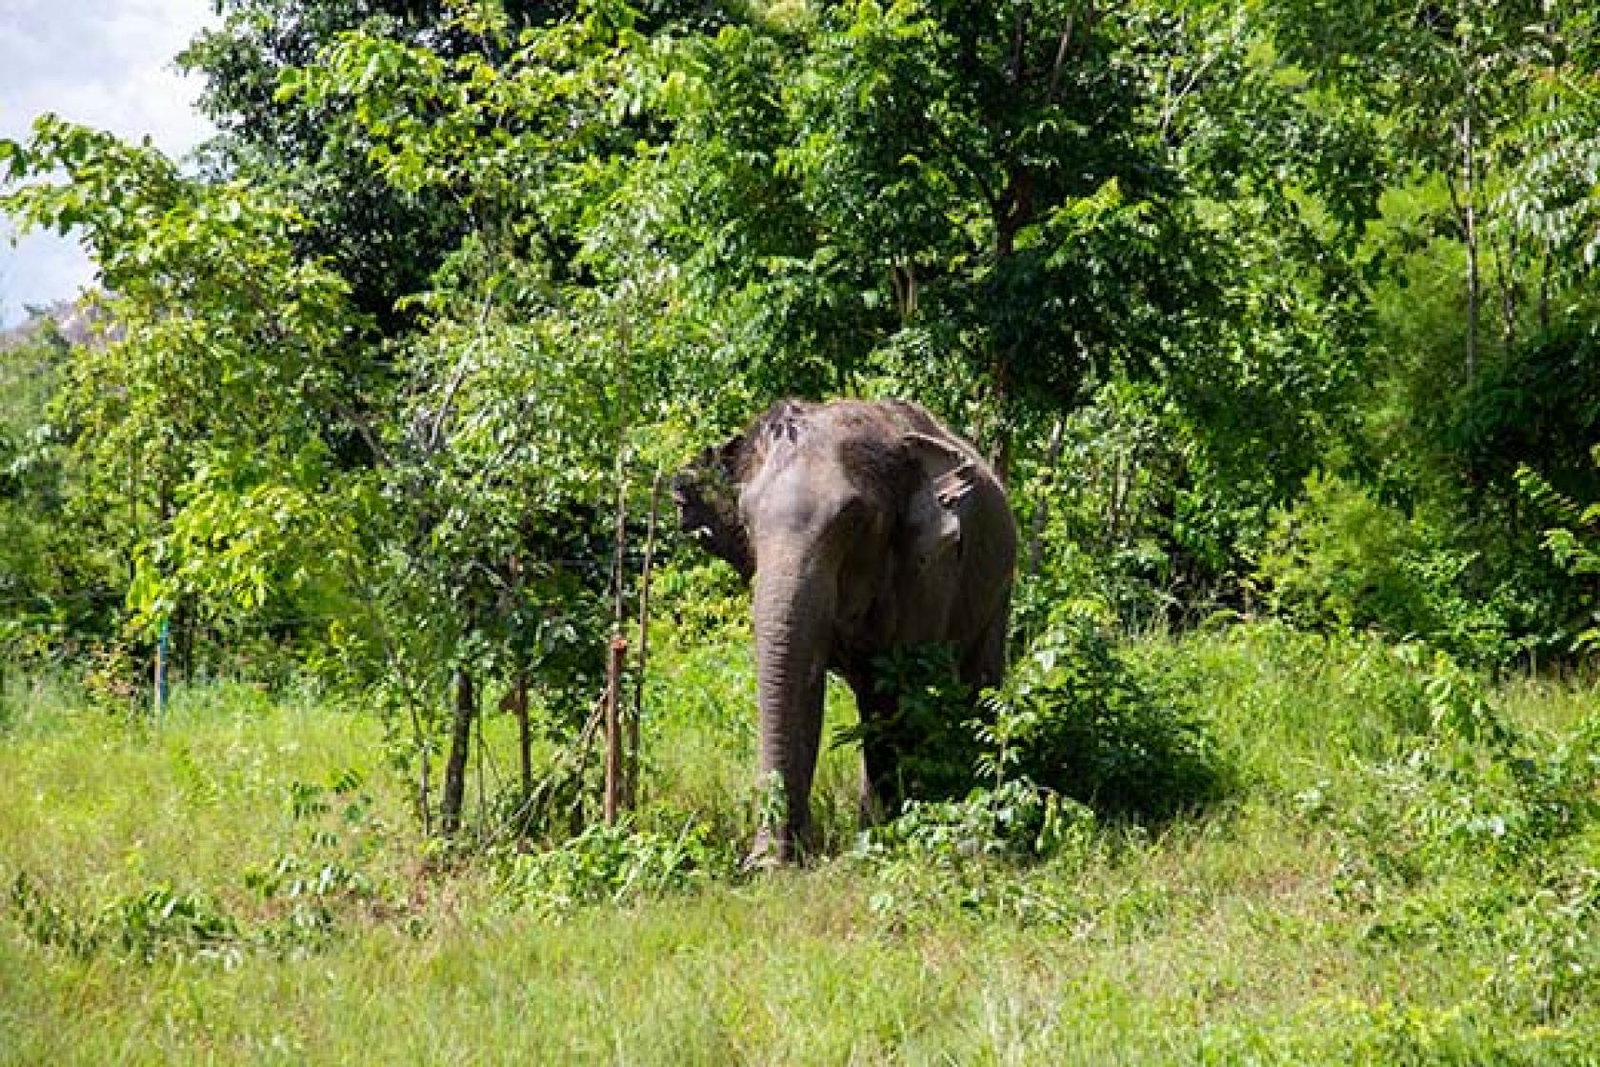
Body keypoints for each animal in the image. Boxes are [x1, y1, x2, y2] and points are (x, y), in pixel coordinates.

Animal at [673, 398, 1017, 865]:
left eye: (854, 519)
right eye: (745, 518)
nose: (762, 859)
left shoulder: (929, 569)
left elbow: (895, 688)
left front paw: (879, 840)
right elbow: (805, 683)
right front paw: (778, 862)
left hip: (999, 587)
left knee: (977, 682)